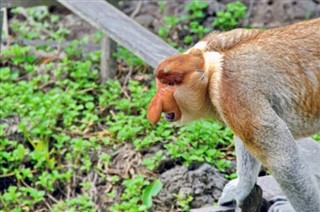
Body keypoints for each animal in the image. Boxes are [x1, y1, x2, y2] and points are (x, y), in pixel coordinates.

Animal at [147, 18, 320, 212]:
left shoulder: (233, 91)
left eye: (170, 84)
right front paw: (239, 190)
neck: (210, 68)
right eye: (161, 83)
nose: (155, 105)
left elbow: (283, 161)